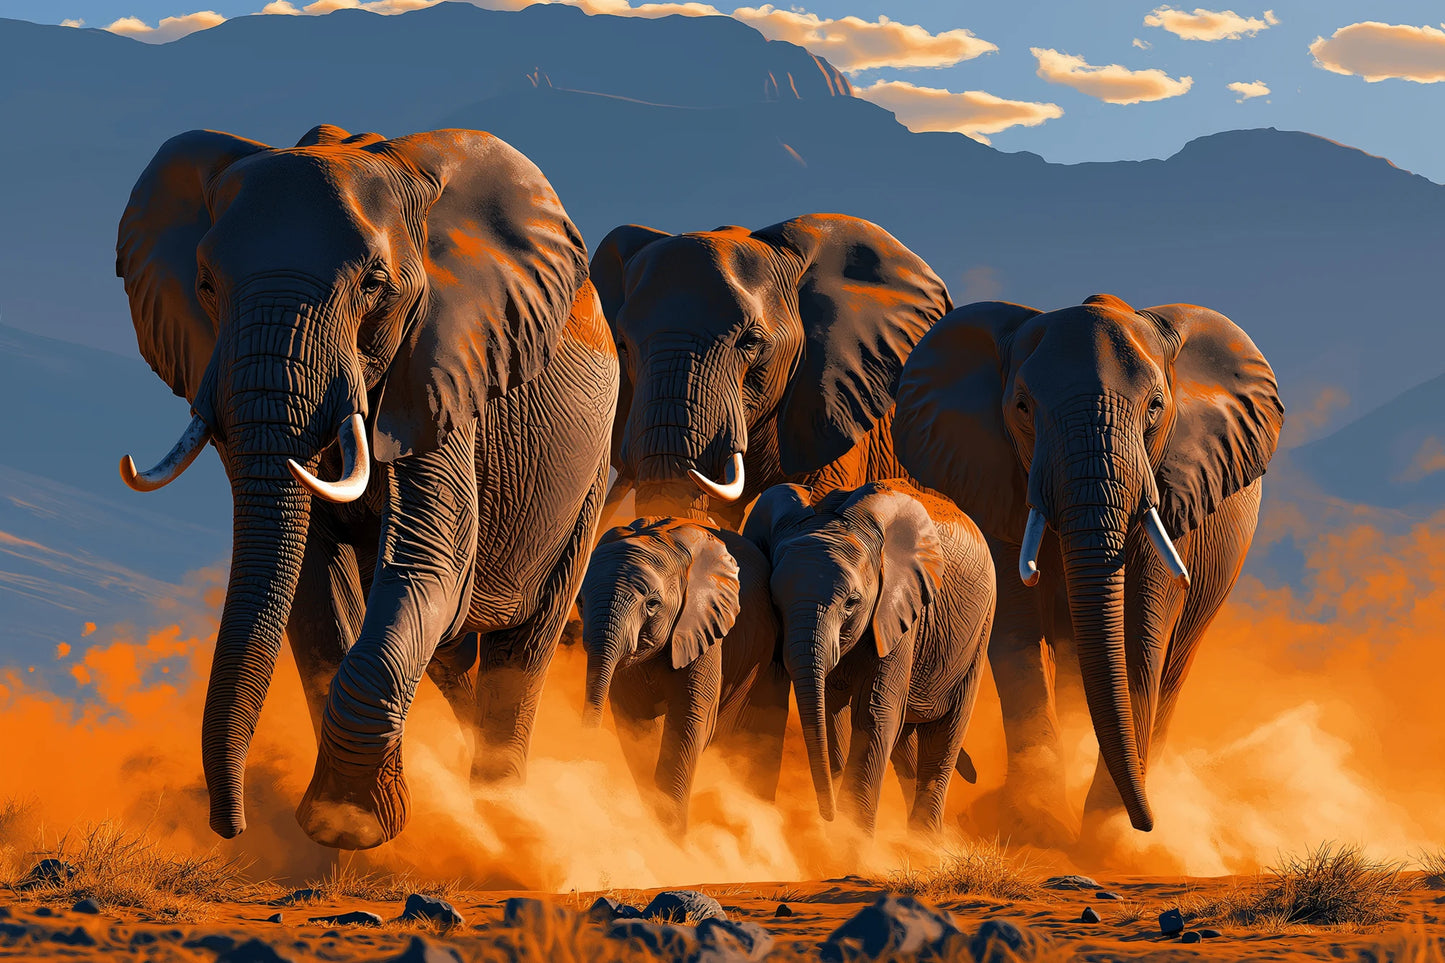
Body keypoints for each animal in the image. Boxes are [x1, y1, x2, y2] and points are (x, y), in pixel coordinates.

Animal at [115, 124, 617, 849]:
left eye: (375, 285)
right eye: (206, 284)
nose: (229, 826)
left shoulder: (443, 366)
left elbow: (434, 563)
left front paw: (352, 827)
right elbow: (311, 577)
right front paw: (344, 820)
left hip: (588, 479)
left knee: (521, 652)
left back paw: (502, 817)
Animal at [577, 518, 789, 834]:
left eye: (652, 604)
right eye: (579, 601)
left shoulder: (707, 627)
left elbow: (689, 723)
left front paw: (670, 839)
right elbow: (637, 724)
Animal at [742, 480, 995, 837]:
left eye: (852, 602)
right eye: (774, 599)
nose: (827, 815)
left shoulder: (901, 611)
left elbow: (876, 713)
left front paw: (852, 840)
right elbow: (827, 712)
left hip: (979, 633)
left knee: (944, 736)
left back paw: (923, 841)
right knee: (905, 743)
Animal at [890, 294, 1283, 846]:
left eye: (1155, 407)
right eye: (1023, 408)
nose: (1147, 822)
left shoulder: (1174, 488)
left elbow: (1139, 632)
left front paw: (1107, 834)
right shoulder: (995, 479)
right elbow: (1016, 631)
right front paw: (1036, 822)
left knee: (1172, 666)